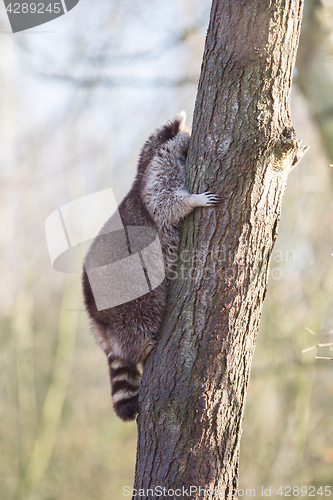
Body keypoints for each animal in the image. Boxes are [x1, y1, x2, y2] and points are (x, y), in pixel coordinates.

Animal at [81, 111, 220, 420]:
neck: (147, 158)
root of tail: (99, 325)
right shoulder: (156, 178)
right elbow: (165, 202)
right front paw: (193, 200)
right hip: (128, 300)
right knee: (142, 316)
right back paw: (139, 348)